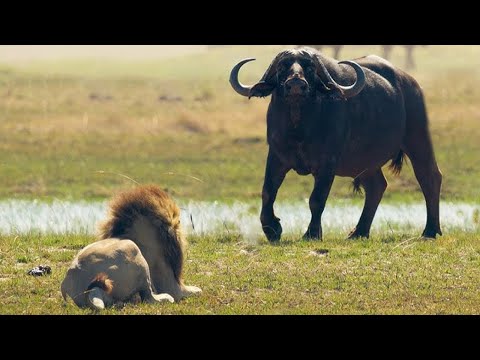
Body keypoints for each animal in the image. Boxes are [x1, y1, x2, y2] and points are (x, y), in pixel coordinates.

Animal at [229, 45, 442, 242]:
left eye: (310, 67)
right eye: (282, 67)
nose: (296, 84)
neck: (299, 128)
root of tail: (411, 84)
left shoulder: (327, 163)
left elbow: (317, 199)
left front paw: (312, 234)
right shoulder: (276, 157)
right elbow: (267, 193)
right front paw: (272, 230)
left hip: (418, 138)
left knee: (429, 177)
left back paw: (430, 230)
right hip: (365, 162)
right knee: (376, 186)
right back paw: (359, 232)